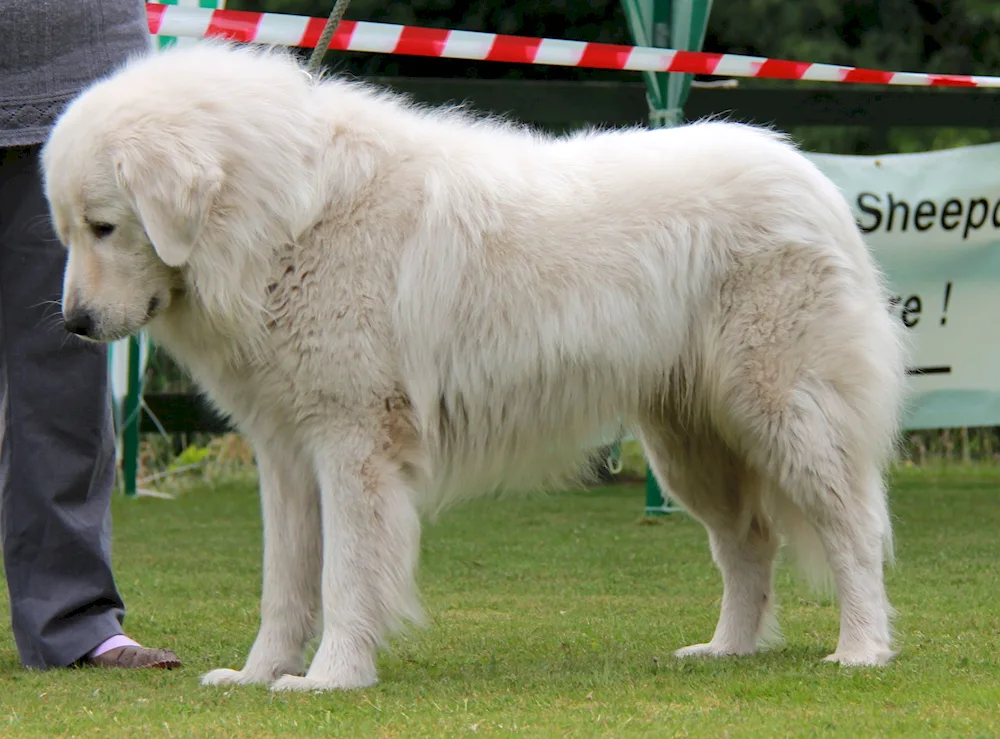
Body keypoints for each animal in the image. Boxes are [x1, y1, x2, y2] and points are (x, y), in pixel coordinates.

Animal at [41, 42, 908, 692]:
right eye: (67, 231)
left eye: (105, 226)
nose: (74, 324)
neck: (283, 218)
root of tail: (811, 175)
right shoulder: (287, 454)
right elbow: (284, 583)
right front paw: (259, 676)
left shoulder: (353, 443)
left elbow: (345, 575)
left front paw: (331, 678)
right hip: (691, 443)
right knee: (748, 542)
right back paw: (728, 649)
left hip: (782, 411)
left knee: (853, 529)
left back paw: (861, 649)